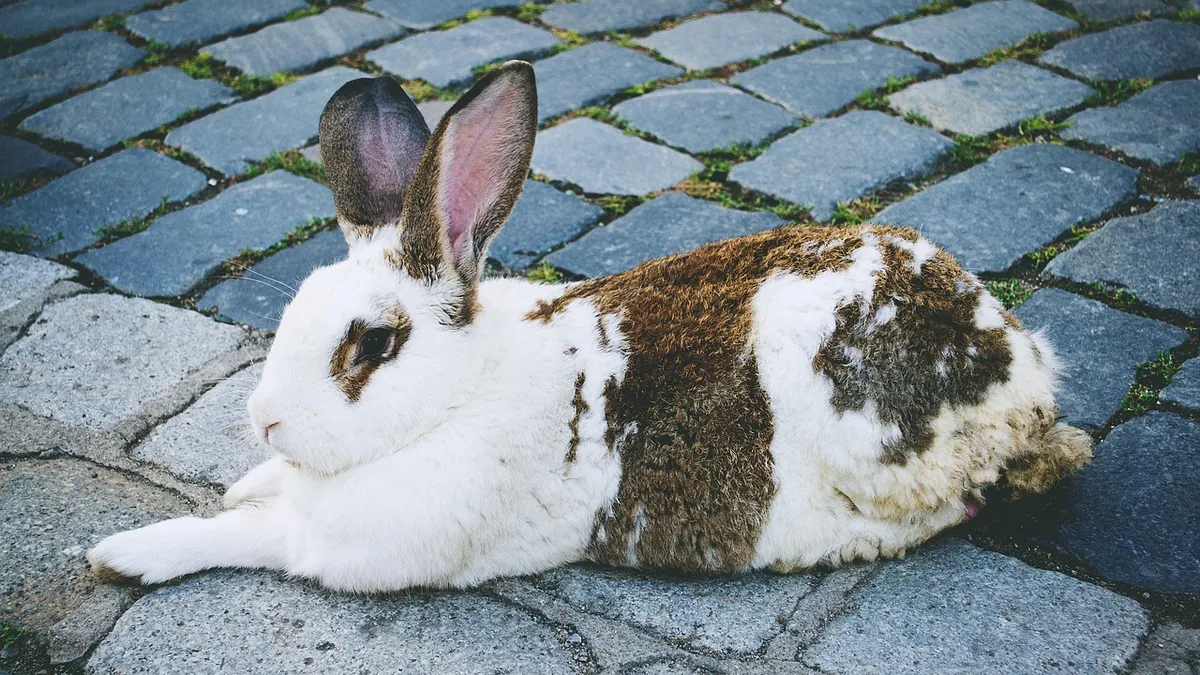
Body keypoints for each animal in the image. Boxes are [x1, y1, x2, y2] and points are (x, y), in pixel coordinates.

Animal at [88, 60, 1092, 592]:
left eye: (373, 344)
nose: (264, 419)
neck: (460, 396)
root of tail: (1022, 375)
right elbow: (254, 500)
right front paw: (242, 479)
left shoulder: (345, 548)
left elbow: (243, 539)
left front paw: (123, 553)